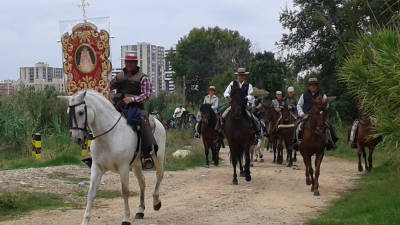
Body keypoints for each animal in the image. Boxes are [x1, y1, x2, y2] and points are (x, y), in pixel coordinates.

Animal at [57, 89, 166, 225]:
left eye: (81, 112)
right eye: (68, 112)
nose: (76, 139)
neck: (108, 136)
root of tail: (158, 122)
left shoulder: (123, 168)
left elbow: (125, 192)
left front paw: (126, 219)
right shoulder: (96, 168)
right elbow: (91, 192)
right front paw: (85, 221)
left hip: (158, 158)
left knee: (159, 176)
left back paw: (156, 202)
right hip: (136, 165)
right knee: (142, 182)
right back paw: (140, 211)